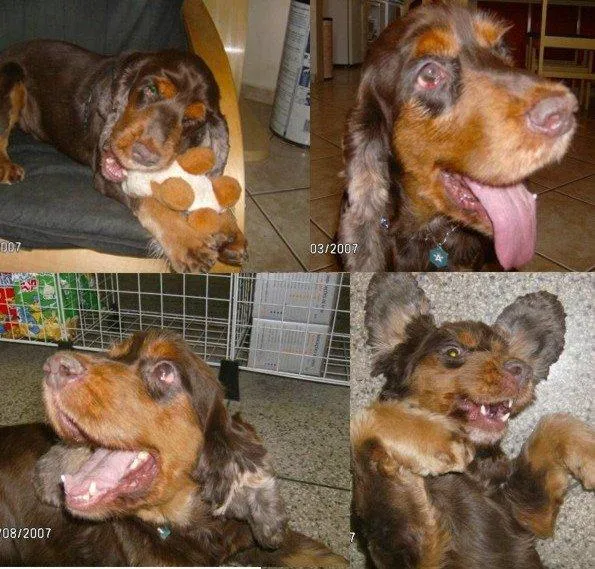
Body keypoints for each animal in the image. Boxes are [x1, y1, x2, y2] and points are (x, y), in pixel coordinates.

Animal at [0, 40, 246, 272]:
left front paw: (229, 230)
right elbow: (150, 201)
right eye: (151, 89)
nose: (144, 156)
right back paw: (7, 167)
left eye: (191, 119)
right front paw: (188, 244)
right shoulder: (107, 176)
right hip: (12, 74)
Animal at [351, 274, 595, 569]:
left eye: (507, 355)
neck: (474, 472)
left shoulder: (528, 513)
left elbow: (552, 423)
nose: (522, 369)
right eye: (453, 352)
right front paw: (439, 441)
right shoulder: (405, 550)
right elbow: (366, 420)